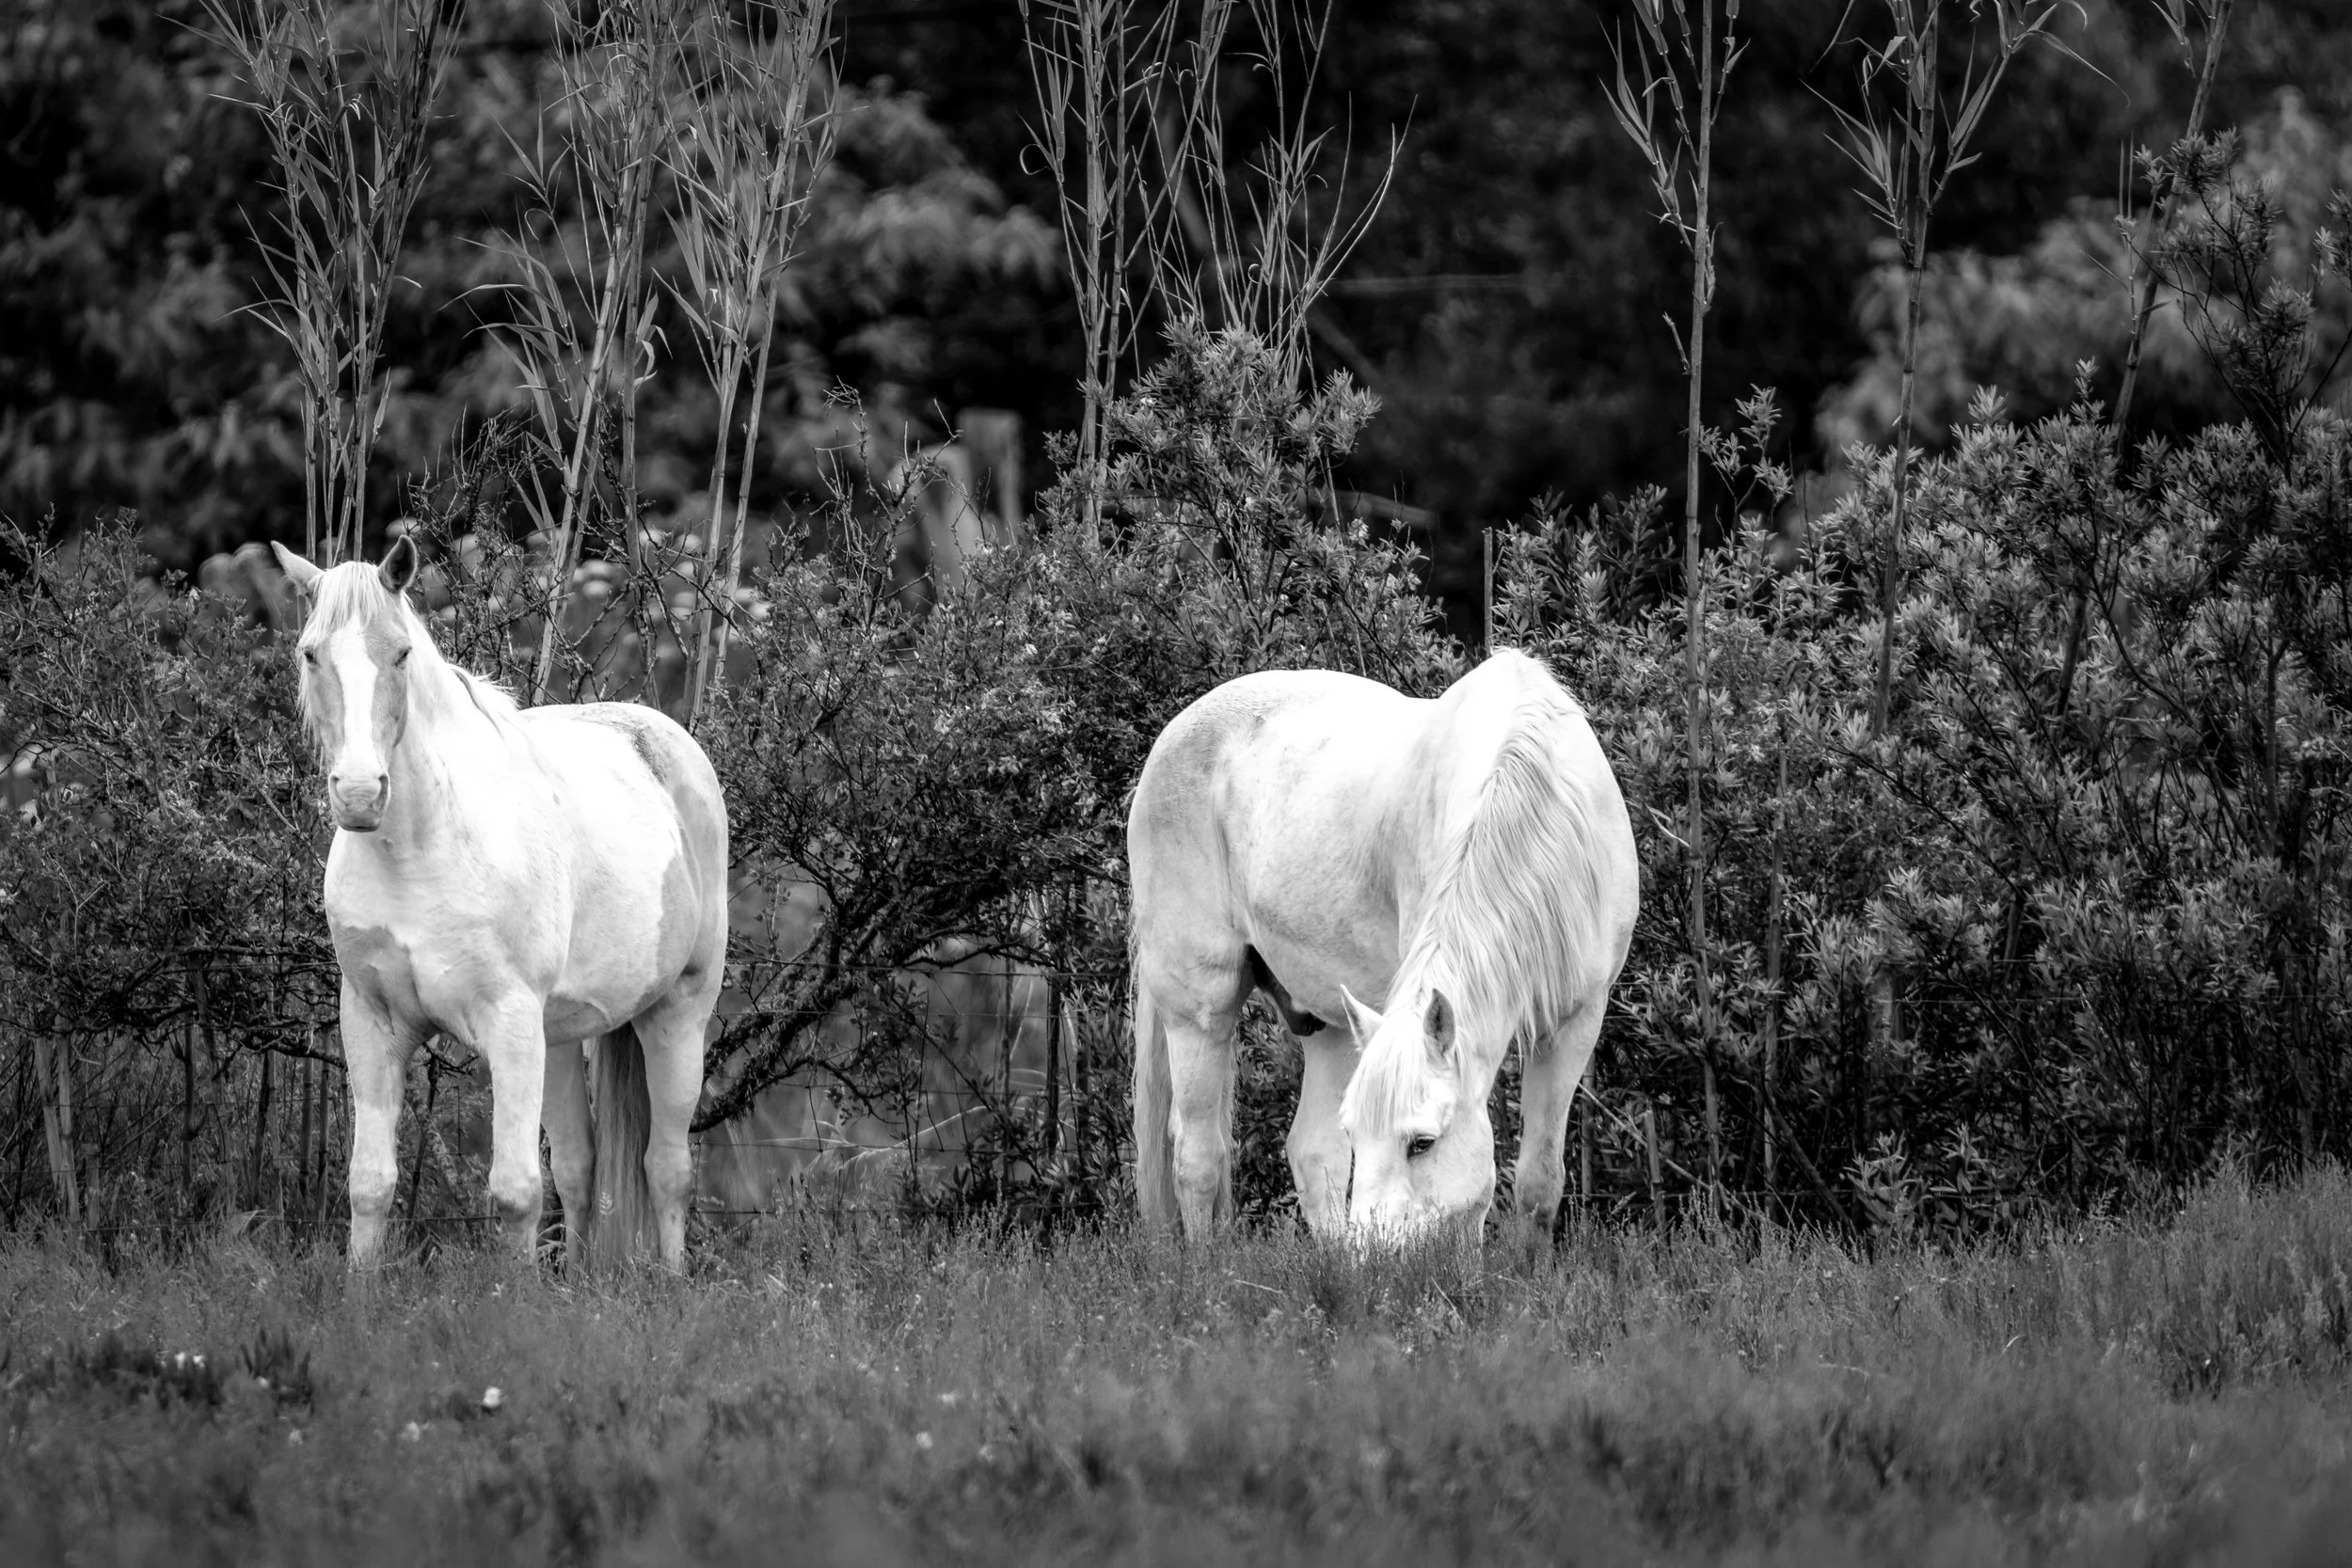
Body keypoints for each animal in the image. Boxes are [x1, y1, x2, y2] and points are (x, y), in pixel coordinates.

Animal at [272, 538, 729, 1270]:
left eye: (400, 653)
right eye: (311, 653)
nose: (361, 794)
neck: (420, 850)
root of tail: (667, 741)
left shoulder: (508, 1022)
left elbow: (515, 1192)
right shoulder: (371, 1022)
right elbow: (370, 1185)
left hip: (677, 1015)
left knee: (667, 1169)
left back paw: (672, 1279)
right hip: (560, 1038)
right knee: (578, 1166)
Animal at [1126, 649, 1639, 1244]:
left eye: (1422, 1143)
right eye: (1362, 1134)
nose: (1374, 1255)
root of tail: (1170, 740)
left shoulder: (1576, 1023)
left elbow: (1538, 1184)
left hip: (1328, 1021)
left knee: (1311, 1153)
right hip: (1198, 1010)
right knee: (1198, 1159)